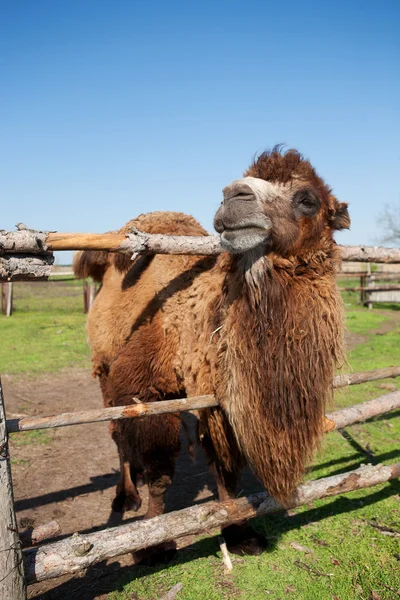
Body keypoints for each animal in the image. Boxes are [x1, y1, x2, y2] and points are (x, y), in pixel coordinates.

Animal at [75, 146, 350, 556]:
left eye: (308, 199)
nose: (233, 195)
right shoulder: (144, 383)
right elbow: (160, 470)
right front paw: (152, 543)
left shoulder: (219, 398)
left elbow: (227, 471)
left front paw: (240, 534)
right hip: (106, 364)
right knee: (116, 429)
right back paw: (126, 496)